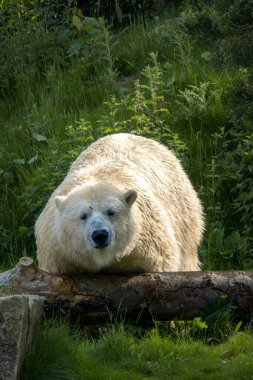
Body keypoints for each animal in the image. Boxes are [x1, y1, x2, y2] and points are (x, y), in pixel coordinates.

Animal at [35, 133, 204, 274]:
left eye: (111, 212)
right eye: (82, 216)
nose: (100, 235)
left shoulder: (148, 246)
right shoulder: (59, 252)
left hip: (183, 210)